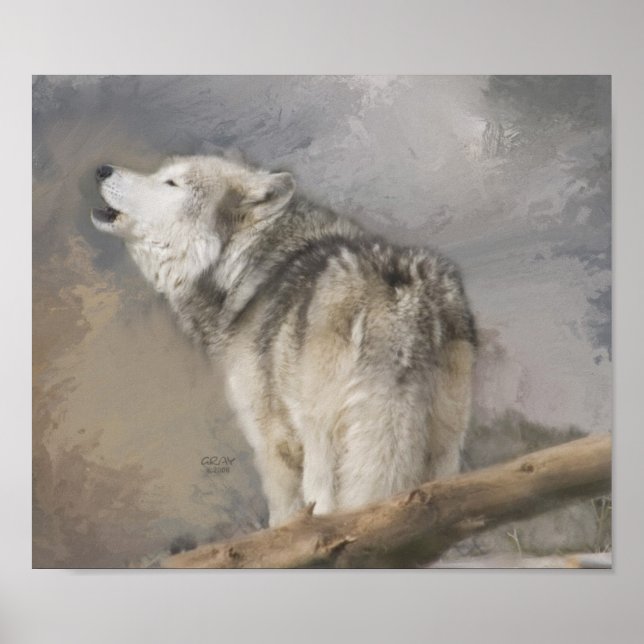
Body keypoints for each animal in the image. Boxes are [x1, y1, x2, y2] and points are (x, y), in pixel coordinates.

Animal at [91, 153, 476, 527]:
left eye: (172, 183)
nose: (102, 169)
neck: (243, 266)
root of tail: (401, 300)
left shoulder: (272, 443)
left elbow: (283, 516)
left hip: (326, 449)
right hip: (440, 447)